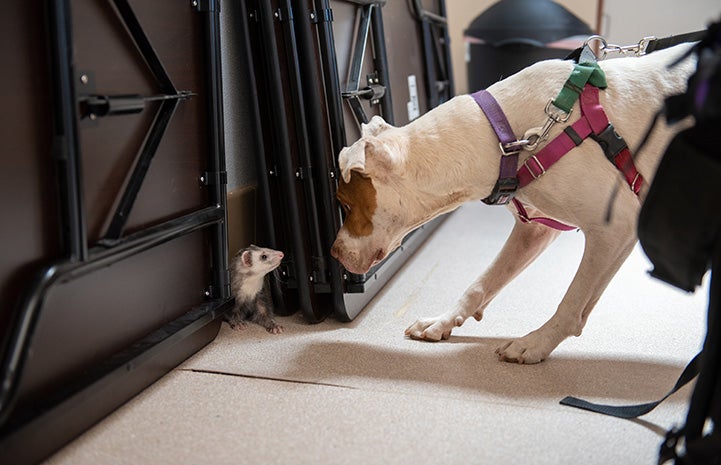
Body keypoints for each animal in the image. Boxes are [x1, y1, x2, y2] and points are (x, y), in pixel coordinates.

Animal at [330, 43, 696, 362]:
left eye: (345, 205)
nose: (333, 253)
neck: (504, 138)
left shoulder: (613, 230)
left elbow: (573, 302)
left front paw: (536, 343)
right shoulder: (534, 228)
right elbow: (482, 282)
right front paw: (443, 321)